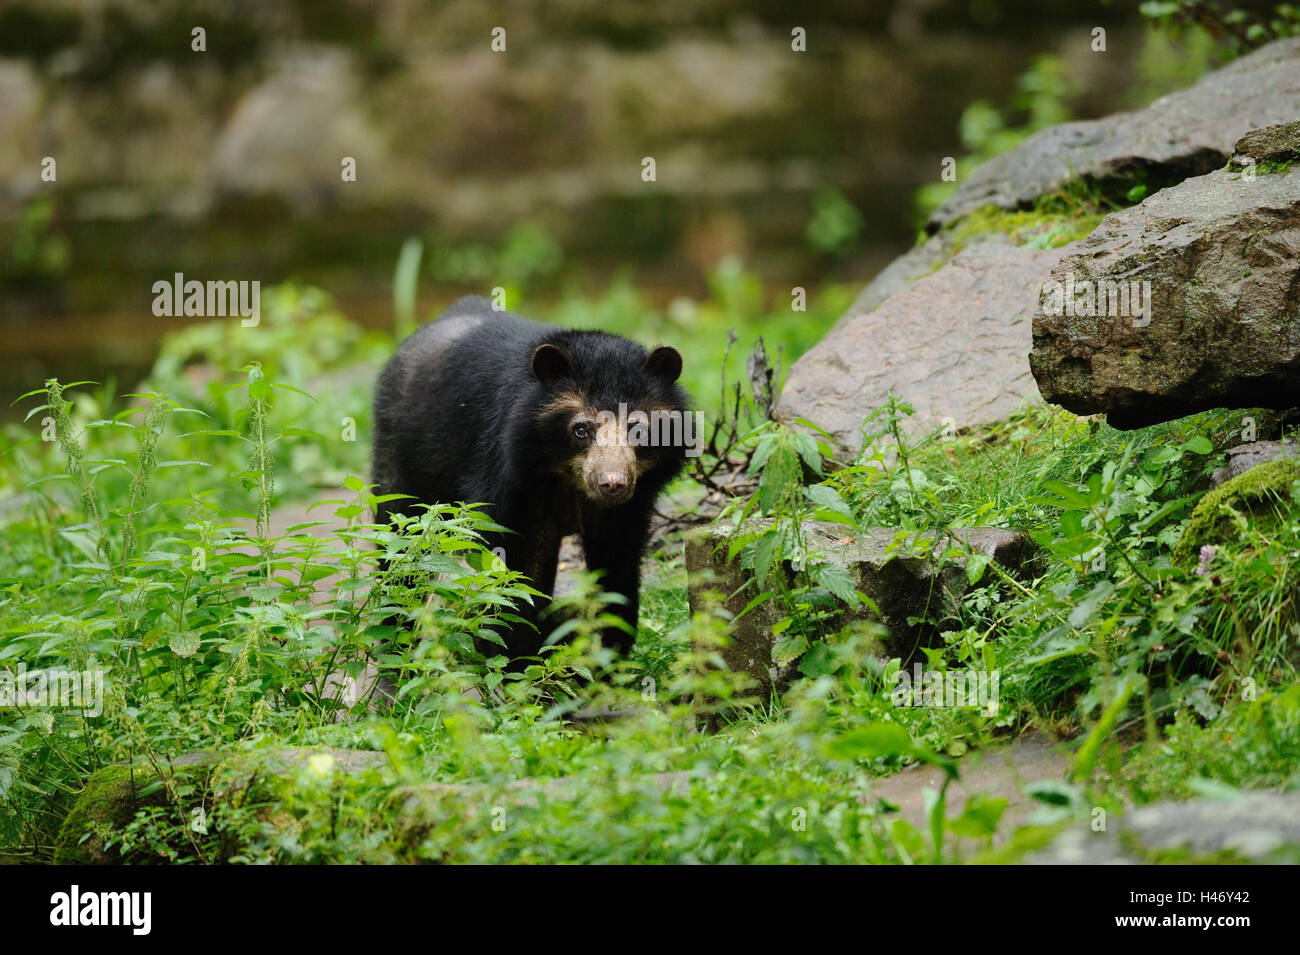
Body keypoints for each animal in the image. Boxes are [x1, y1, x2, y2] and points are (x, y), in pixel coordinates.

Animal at [371, 296, 691, 662]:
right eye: (581, 429)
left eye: (639, 430)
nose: (612, 484)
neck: (566, 480)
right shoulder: (508, 476)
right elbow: (513, 569)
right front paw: (515, 657)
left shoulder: (629, 507)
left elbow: (618, 567)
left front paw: (608, 657)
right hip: (404, 452)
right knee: (401, 537)